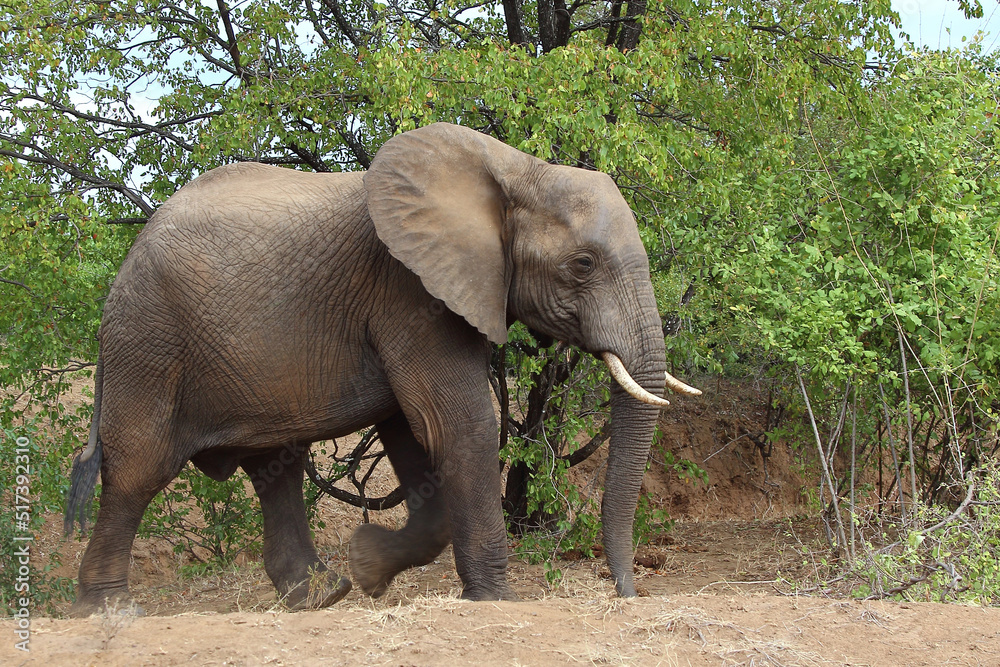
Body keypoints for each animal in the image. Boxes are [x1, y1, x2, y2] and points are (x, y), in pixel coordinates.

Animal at [64, 122, 700, 616]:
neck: (518, 169)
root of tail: (125, 265)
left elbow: (413, 431)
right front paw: (496, 599)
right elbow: (458, 423)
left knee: (276, 467)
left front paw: (368, 567)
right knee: (138, 471)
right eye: (583, 265)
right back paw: (110, 609)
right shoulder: (408, 290)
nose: (627, 592)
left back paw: (322, 595)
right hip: (148, 341)